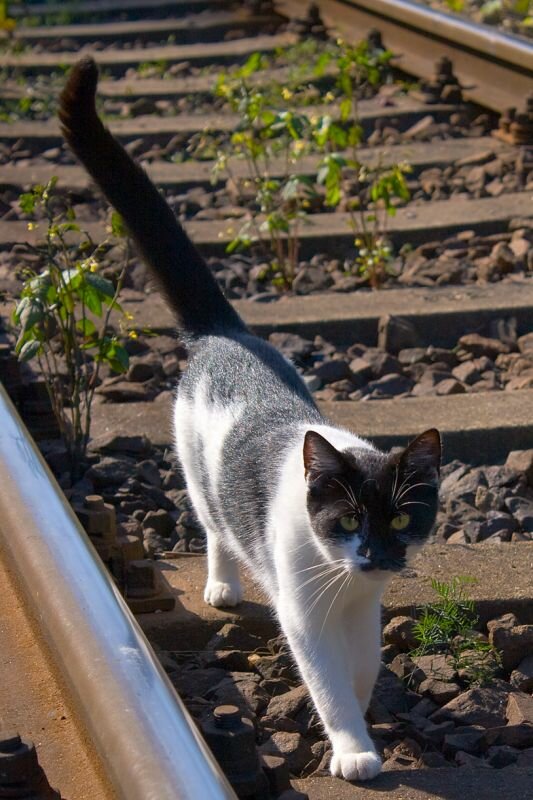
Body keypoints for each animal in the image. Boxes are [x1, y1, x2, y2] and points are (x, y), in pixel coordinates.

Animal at [58, 59, 440, 784]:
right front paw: (353, 749)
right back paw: (223, 586)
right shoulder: (305, 611)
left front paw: (363, 711)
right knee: (213, 525)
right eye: (348, 518)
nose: (377, 553)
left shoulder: (363, 607)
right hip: (196, 467)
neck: (342, 580)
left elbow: (363, 665)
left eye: (403, 518)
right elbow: (325, 679)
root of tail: (222, 333)